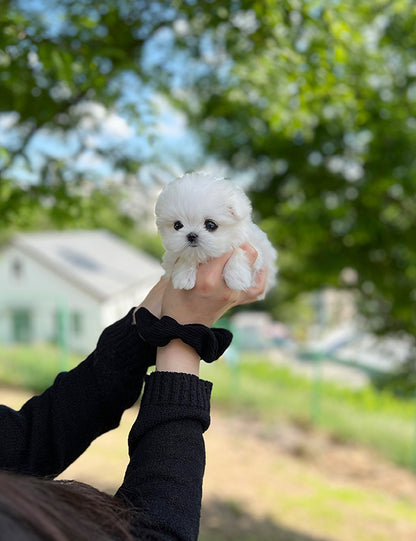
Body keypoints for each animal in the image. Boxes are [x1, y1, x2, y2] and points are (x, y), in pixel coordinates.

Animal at [154, 172, 278, 300]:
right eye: (177, 225)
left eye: (210, 225)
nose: (191, 235)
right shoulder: (171, 258)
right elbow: (185, 256)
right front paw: (184, 275)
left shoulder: (257, 253)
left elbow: (238, 250)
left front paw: (237, 278)